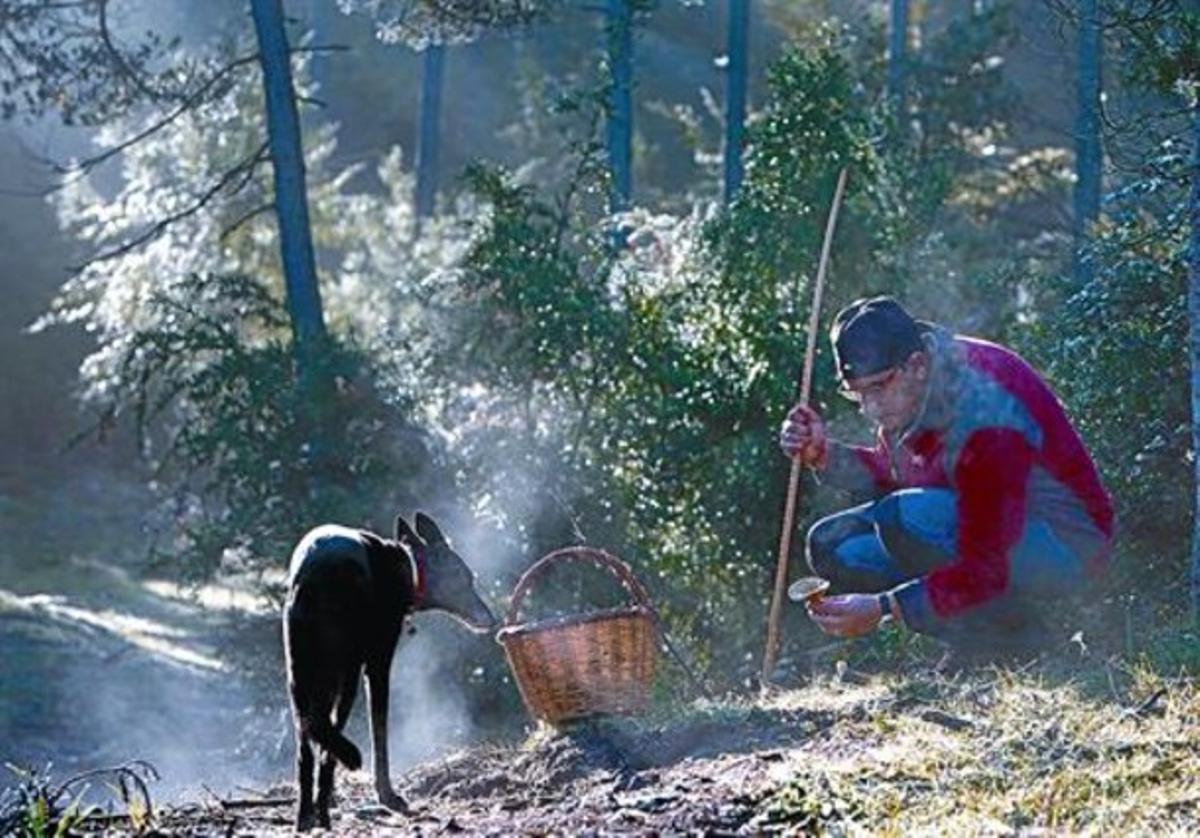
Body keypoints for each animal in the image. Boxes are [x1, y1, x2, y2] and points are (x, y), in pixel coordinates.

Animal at [283, 509, 494, 830]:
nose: (491, 619)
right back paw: (325, 806)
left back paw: (306, 815)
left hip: (300, 674)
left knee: (307, 744)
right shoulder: (377, 664)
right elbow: (379, 731)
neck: (410, 567)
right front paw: (388, 795)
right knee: (325, 737)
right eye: (465, 578)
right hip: (344, 672)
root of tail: (314, 577)